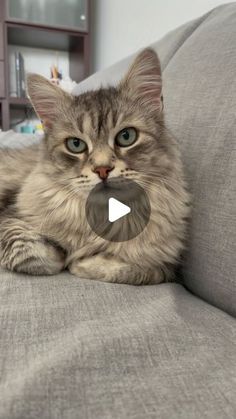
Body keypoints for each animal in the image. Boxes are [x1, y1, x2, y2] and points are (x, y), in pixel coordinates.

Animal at [0, 49, 190, 286]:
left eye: (126, 136)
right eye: (75, 144)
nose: (102, 169)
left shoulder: (167, 266)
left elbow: (134, 268)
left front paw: (84, 263)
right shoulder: (10, 216)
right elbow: (33, 253)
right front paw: (63, 256)